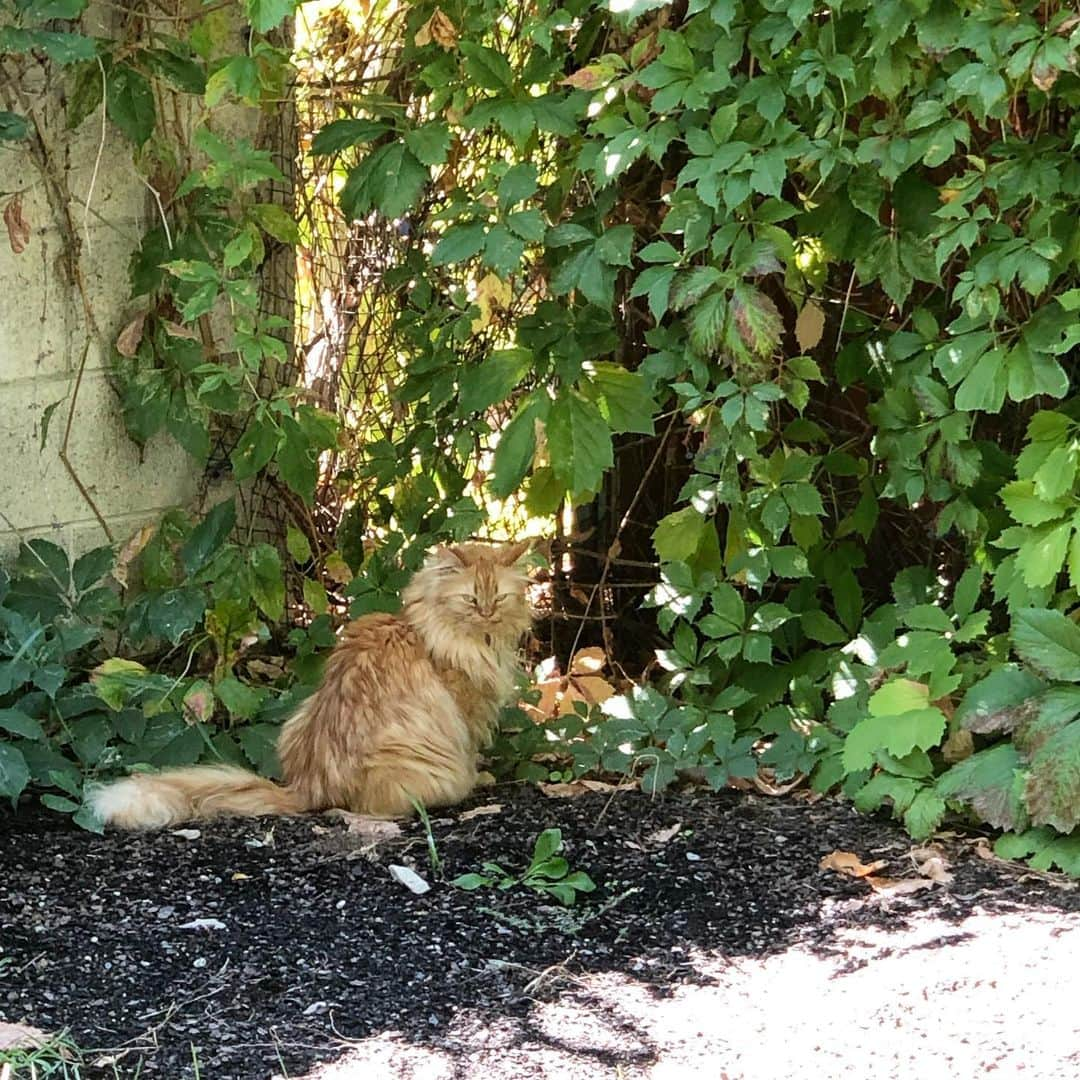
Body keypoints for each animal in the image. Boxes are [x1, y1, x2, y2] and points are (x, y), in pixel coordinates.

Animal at [89, 540, 531, 825]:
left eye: (499, 598)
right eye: (471, 600)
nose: (488, 614)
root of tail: (306, 788)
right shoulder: (466, 710)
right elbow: (471, 752)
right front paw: (480, 780)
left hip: (296, 716)